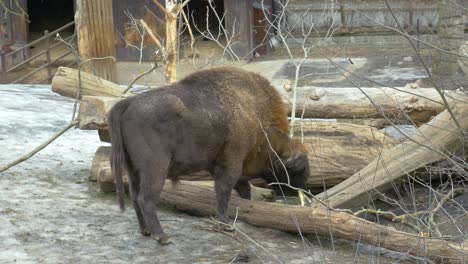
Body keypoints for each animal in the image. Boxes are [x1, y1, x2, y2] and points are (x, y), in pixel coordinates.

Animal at [108, 67, 308, 244]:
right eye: (299, 167)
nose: (304, 187)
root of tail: (128, 103)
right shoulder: (231, 163)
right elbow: (223, 191)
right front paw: (225, 225)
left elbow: (242, 190)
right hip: (155, 169)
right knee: (145, 199)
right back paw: (162, 237)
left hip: (133, 169)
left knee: (135, 197)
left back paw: (146, 231)